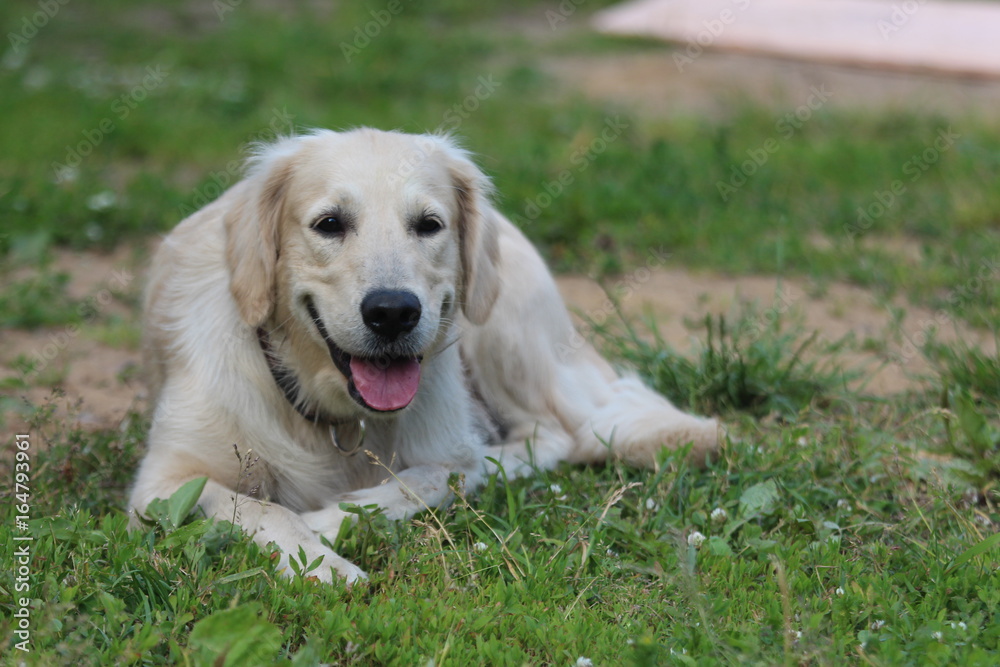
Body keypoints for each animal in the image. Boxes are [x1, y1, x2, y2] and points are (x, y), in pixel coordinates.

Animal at [129, 128, 724, 580]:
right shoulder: (162, 485)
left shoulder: (445, 447)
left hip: (503, 328)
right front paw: (323, 565)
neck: (336, 417)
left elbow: (432, 476)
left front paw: (330, 523)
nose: (393, 312)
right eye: (329, 224)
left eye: (429, 225)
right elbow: (261, 508)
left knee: (555, 435)